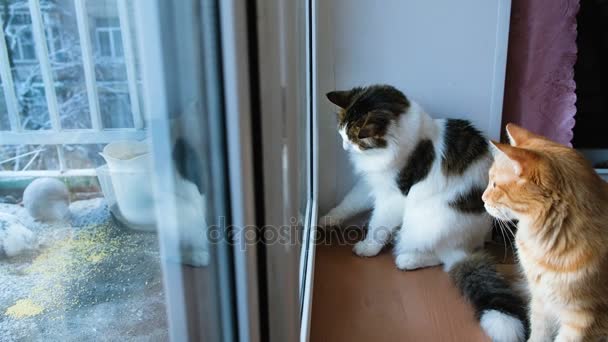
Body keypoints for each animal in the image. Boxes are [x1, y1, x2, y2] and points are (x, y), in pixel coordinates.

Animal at [324, 85, 528, 342]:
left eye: (354, 139)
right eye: (342, 134)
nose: (344, 147)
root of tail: (466, 246)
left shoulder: (393, 197)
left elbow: (377, 225)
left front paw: (368, 247)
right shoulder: (372, 184)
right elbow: (349, 203)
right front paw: (327, 219)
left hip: (425, 223)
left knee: (438, 257)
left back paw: (407, 259)